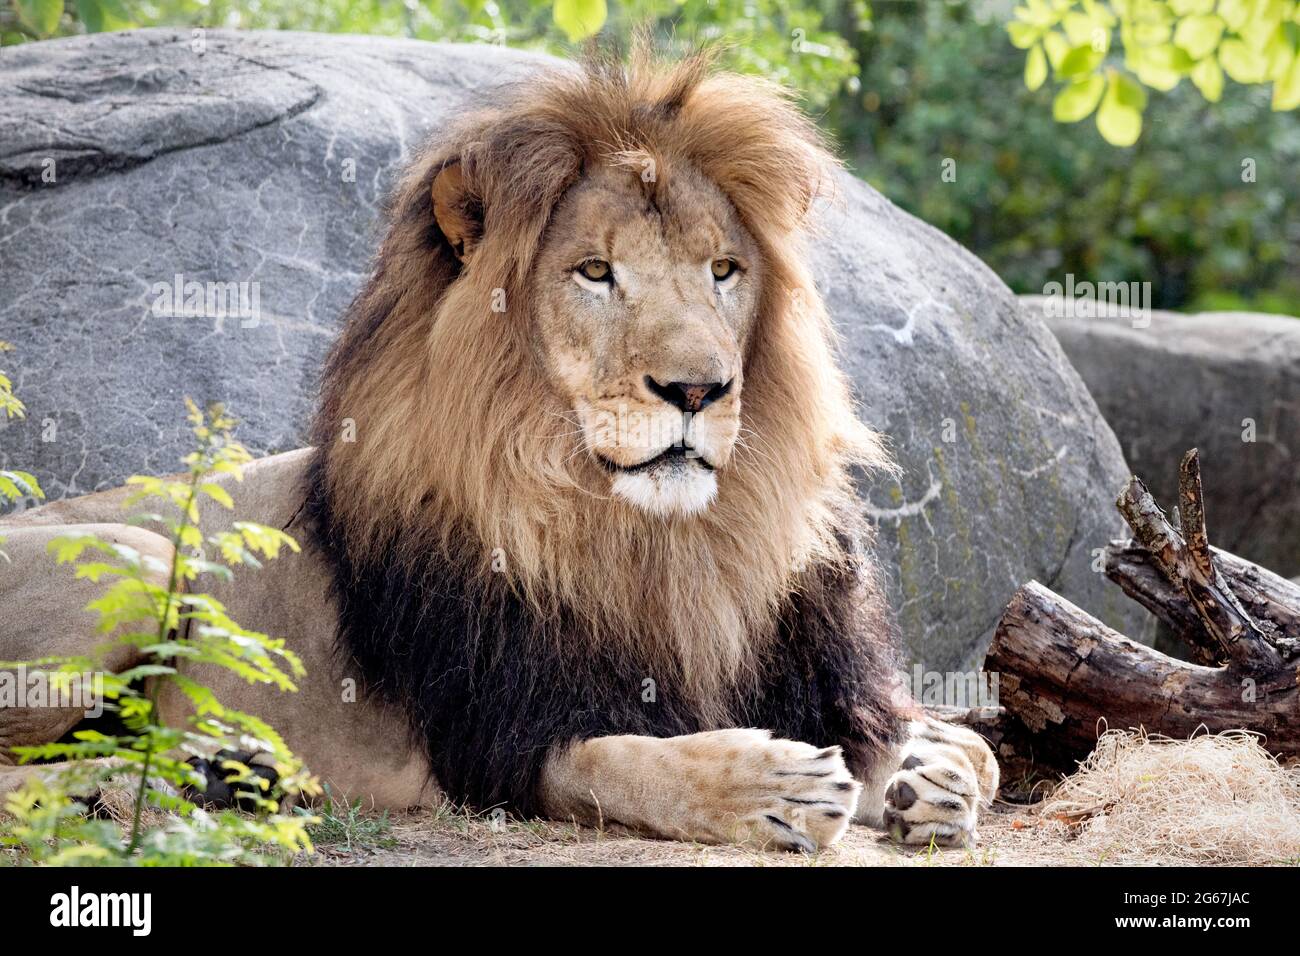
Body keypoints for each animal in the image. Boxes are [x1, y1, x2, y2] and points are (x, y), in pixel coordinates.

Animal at [0, 48, 997, 851]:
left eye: (724, 270)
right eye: (595, 271)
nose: (697, 391)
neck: (662, 543)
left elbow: (969, 745)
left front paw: (931, 773)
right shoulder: (499, 742)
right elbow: (634, 764)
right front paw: (770, 787)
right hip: (141, 555)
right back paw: (140, 783)